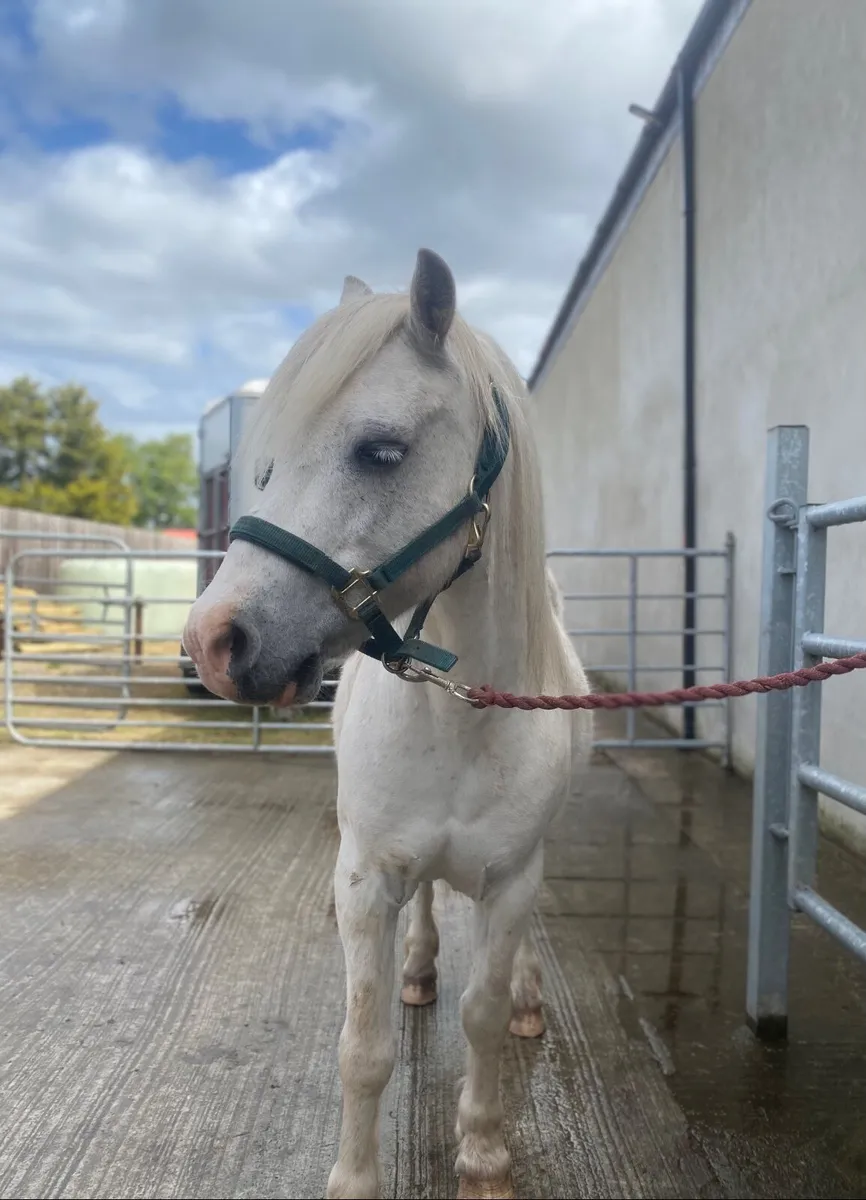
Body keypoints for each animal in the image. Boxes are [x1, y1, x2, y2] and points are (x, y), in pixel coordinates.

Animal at [182, 249, 592, 1200]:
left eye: (380, 451)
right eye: (264, 468)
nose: (212, 641)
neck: (460, 724)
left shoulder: (511, 880)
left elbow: (481, 1018)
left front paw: (483, 1151)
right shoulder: (365, 881)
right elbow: (362, 1049)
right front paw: (355, 1177)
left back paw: (527, 996)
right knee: (429, 910)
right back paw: (416, 971)